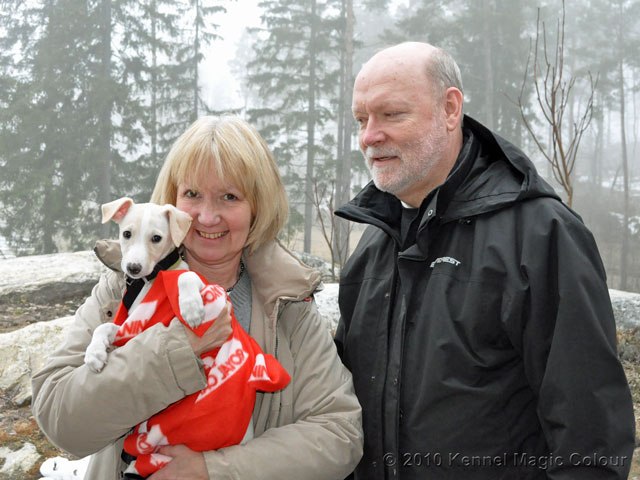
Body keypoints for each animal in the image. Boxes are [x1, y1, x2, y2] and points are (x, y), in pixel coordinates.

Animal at [84, 197, 205, 374]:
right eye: (127, 234)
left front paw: (191, 307)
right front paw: (94, 353)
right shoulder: (128, 330)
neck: (149, 280)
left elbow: (186, 275)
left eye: (156, 238)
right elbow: (104, 326)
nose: (133, 268)